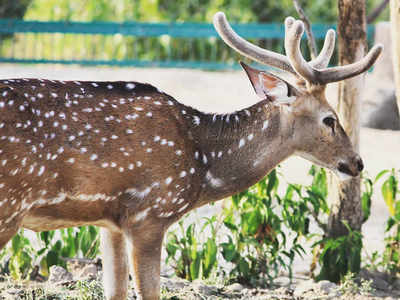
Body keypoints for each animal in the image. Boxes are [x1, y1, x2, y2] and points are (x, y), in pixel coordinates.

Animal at [0, 11, 382, 300]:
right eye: (329, 119)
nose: (357, 162)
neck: (202, 162)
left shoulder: (109, 221)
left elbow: (115, 291)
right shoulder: (150, 212)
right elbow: (150, 293)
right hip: (9, 205)